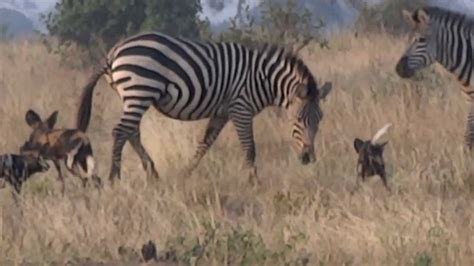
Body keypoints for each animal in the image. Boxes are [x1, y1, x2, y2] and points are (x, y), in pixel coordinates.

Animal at [75, 31, 334, 185]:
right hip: (140, 90)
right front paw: (254, 182)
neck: (262, 79)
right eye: (298, 119)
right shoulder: (241, 108)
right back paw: (114, 177)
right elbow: (250, 148)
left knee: (132, 132)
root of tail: (113, 52)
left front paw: (185, 174)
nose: (309, 158)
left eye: (320, 119)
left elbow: (204, 144)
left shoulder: (222, 112)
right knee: (120, 131)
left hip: (134, 96)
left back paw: (153, 173)